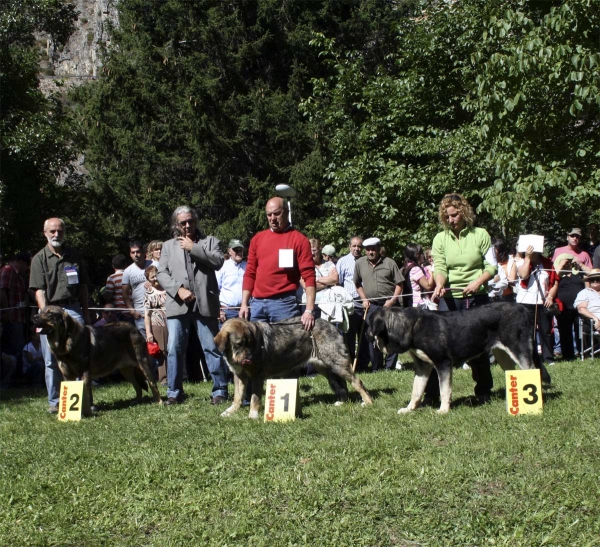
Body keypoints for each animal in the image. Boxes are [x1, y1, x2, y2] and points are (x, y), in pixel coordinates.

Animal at [34, 306, 162, 418]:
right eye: (42, 311)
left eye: (50, 313)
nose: (34, 317)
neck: (64, 341)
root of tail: (134, 328)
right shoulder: (67, 375)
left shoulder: (84, 373)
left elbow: (86, 393)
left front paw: (85, 411)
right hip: (126, 371)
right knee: (137, 386)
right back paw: (137, 401)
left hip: (142, 364)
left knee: (152, 384)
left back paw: (159, 402)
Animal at [213, 316, 372, 420]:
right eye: (239, 344)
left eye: (250, 343)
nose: (250, 359)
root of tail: (332, 326)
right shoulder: (239, 376)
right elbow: (237, 397)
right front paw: (230, 411)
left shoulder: (257, 376)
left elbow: (254, 398)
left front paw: (253, 415)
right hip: (324, 367)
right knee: (340, 384)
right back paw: (342, 401)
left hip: (336, 362)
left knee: (357, 382)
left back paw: (368, 402)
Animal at [366, 302, 540, 414]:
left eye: (369, 323)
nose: (366, 334)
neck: (413, 327)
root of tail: (523, 308)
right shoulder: (422, 367)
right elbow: (416, 391)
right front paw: (409, 409)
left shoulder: (443, 363)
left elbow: (444, 390)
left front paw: (443, 410)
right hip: (503, 355)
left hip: (519, 351)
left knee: (532, 371)